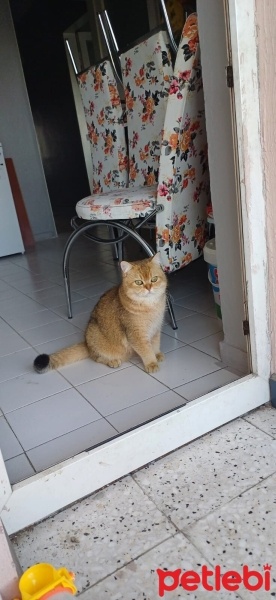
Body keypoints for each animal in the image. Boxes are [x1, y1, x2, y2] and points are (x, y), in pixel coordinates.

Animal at [33, 253, 167, 376]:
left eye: (154, 279)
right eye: (139, 282)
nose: (149, 288)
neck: (150, 306)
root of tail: (86, 344)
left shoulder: (156, 329)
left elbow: (155, 344)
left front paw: (157, 354)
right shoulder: (136, 334)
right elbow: (146, 351)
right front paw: (151, 364)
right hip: (95, 335)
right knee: (96, 357)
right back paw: (112, 361)